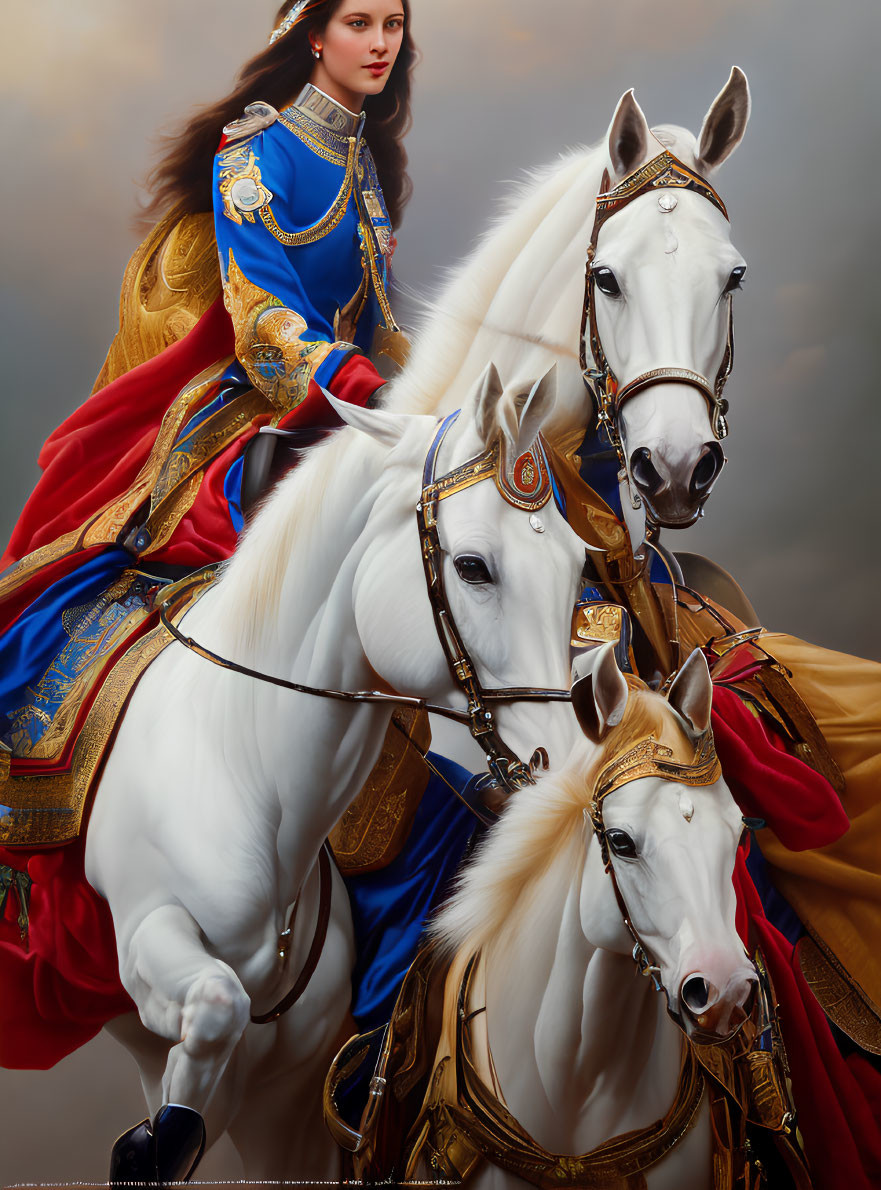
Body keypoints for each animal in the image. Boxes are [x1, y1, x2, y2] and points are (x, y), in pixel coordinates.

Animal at [86, 364, 588, 1180]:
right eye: (473, 567)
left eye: (576, 566)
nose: (566, 765)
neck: (238, 760)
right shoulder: (145, 934)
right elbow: (216, 1010)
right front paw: (148, 1144)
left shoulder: (286, 1097)